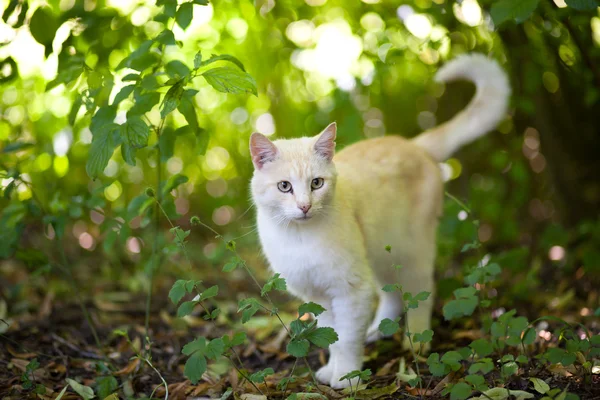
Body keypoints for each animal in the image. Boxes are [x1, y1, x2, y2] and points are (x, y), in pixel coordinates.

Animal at [246, 53, 508, 388]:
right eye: (284, 187)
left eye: (316, 183)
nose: (305, 206)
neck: (300, 238)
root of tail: (413, 144)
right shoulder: (319, 298)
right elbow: (332, 338)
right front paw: (331, 371)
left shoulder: (351, 291)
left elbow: (346, 341)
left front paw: (347, 379)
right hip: (381, 255)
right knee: (392, 297)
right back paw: (375, 331)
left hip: (410, 250)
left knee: (421, 290)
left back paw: (416, 342)